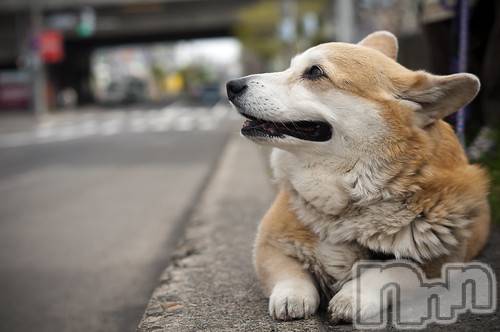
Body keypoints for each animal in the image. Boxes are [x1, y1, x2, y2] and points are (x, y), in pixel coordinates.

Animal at [226, 30, 488, 322]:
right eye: (290, 66)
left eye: (315, 72)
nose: (231, 85)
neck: (350, 195)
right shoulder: (269, 246)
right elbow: (291, 273)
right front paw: (292, 297)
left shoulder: (439, 264)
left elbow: (392, 270)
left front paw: (352, 297)